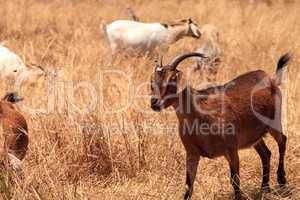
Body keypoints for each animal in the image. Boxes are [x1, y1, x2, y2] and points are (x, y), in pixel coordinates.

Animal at [150, 52, 290, 200]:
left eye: (172, 79)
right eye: (152, 81)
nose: (154, 102)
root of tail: (270, 78)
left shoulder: (231, 150)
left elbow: (235, 180)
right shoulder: (192, 153)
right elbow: (188, 186)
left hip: (274, 123)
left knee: (282, 141)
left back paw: (282, 181)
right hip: (254, 137)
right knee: (266, 154)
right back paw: (265, 188)